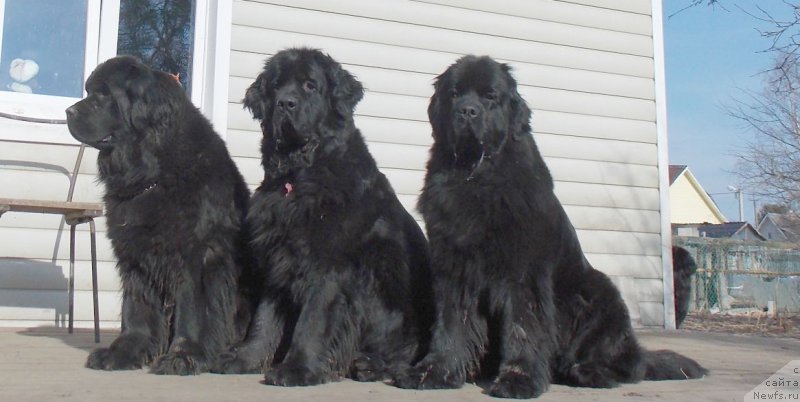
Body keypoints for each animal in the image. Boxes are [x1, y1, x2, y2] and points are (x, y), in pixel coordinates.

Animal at [65, 55, 253, 374]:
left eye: (103, 94)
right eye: (89, 91)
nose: (68, 111)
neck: (150, 174)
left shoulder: (195, 254)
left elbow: (192, 310)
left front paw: (183, 355)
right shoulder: (135, 254)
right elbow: (136, 307)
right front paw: (124, 352)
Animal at [212, 48, 434, 384]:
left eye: (310, 85)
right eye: (276, 86)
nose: (285, 103)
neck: (299, 176)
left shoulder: (328, 265)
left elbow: (312, 321)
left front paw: (296, 369)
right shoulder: (278, 261)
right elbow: (263, 321)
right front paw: (245, 360)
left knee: (405, 353)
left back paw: (370, 365)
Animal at [394, 56, 708, 398]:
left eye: (490, 96)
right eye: (454, 94)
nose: (467, 111)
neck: (475, 177)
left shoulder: (524, 272)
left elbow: (523, 325)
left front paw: (518, 379)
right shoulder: (453, 268)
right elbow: (450, 322)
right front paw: (434, 372)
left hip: (599, 290)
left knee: (628, 364)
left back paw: (587, 371)